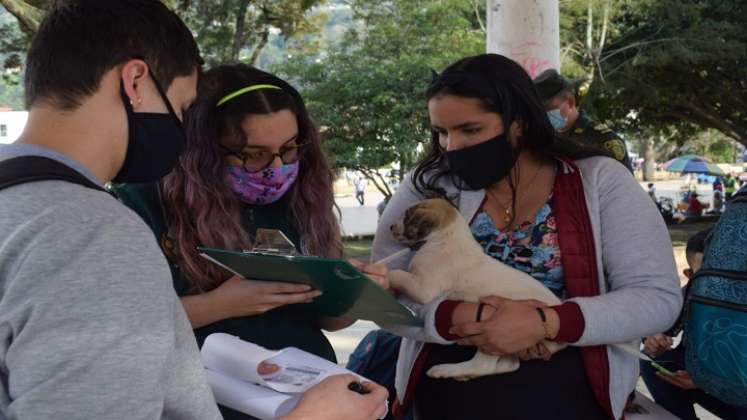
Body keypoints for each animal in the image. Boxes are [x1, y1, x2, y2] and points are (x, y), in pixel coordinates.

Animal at [392, 199, 568, 378]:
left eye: (407, 215)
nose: (391, 226)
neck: (446, 237)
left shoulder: (425, 289)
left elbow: (398, 274)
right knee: (510, 365)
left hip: (495, 336)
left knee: (483, 366)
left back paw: (446, 370)